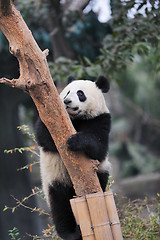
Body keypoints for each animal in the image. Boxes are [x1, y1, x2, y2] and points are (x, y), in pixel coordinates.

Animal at [35, 75, 111, 240]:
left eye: (80, 94)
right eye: (67, 92)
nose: (67, 101)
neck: (77, 119)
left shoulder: (101, 119)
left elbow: (99, 148)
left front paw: (76, 141)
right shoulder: (47, 116)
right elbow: (44, 137)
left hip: (100, 175)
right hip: (55, 179)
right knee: (60, 204)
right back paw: (71, 232)